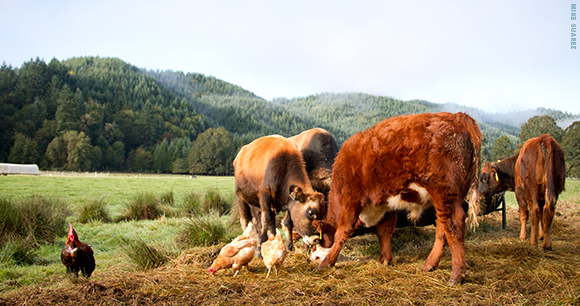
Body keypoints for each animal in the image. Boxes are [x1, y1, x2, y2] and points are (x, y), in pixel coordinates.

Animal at [308, 113, 480, 286]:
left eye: (318, 240)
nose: (311, 256)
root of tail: (459, 116)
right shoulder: (385, 205)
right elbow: (385, 230)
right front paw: (385, 259)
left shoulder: (351, 198)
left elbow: (342, 231)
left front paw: (327, 262)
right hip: (447, 197)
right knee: (442, 226)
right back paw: (429, 265)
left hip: (443, 191)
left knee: (453, 225)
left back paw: (457, 275)